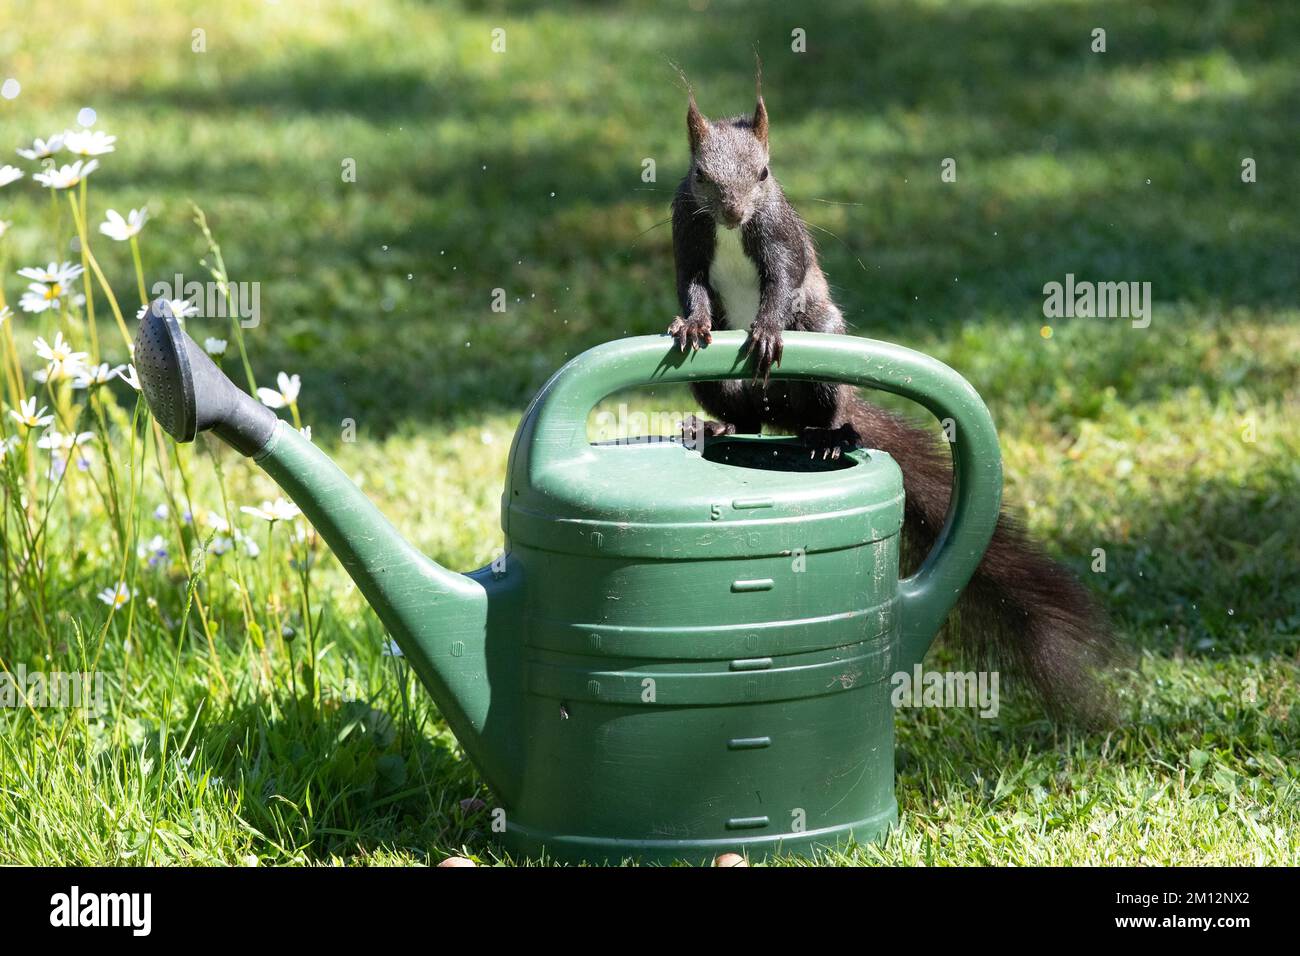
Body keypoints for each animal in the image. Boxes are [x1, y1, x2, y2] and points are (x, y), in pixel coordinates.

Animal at [665, 75, 1119, 721]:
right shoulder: (687, 230)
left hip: (822, 348)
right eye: (701, 174)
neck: (731, 230)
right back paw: (719, 428)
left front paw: (770, 328)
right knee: (746, 414)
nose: (732, 211)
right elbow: (693, 287)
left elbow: (783, 279)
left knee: (819, 409)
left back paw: (833, 437)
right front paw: (692, 325)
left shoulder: (781, 236)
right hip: (722, 387)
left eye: (765, 173)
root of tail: (783, 411)